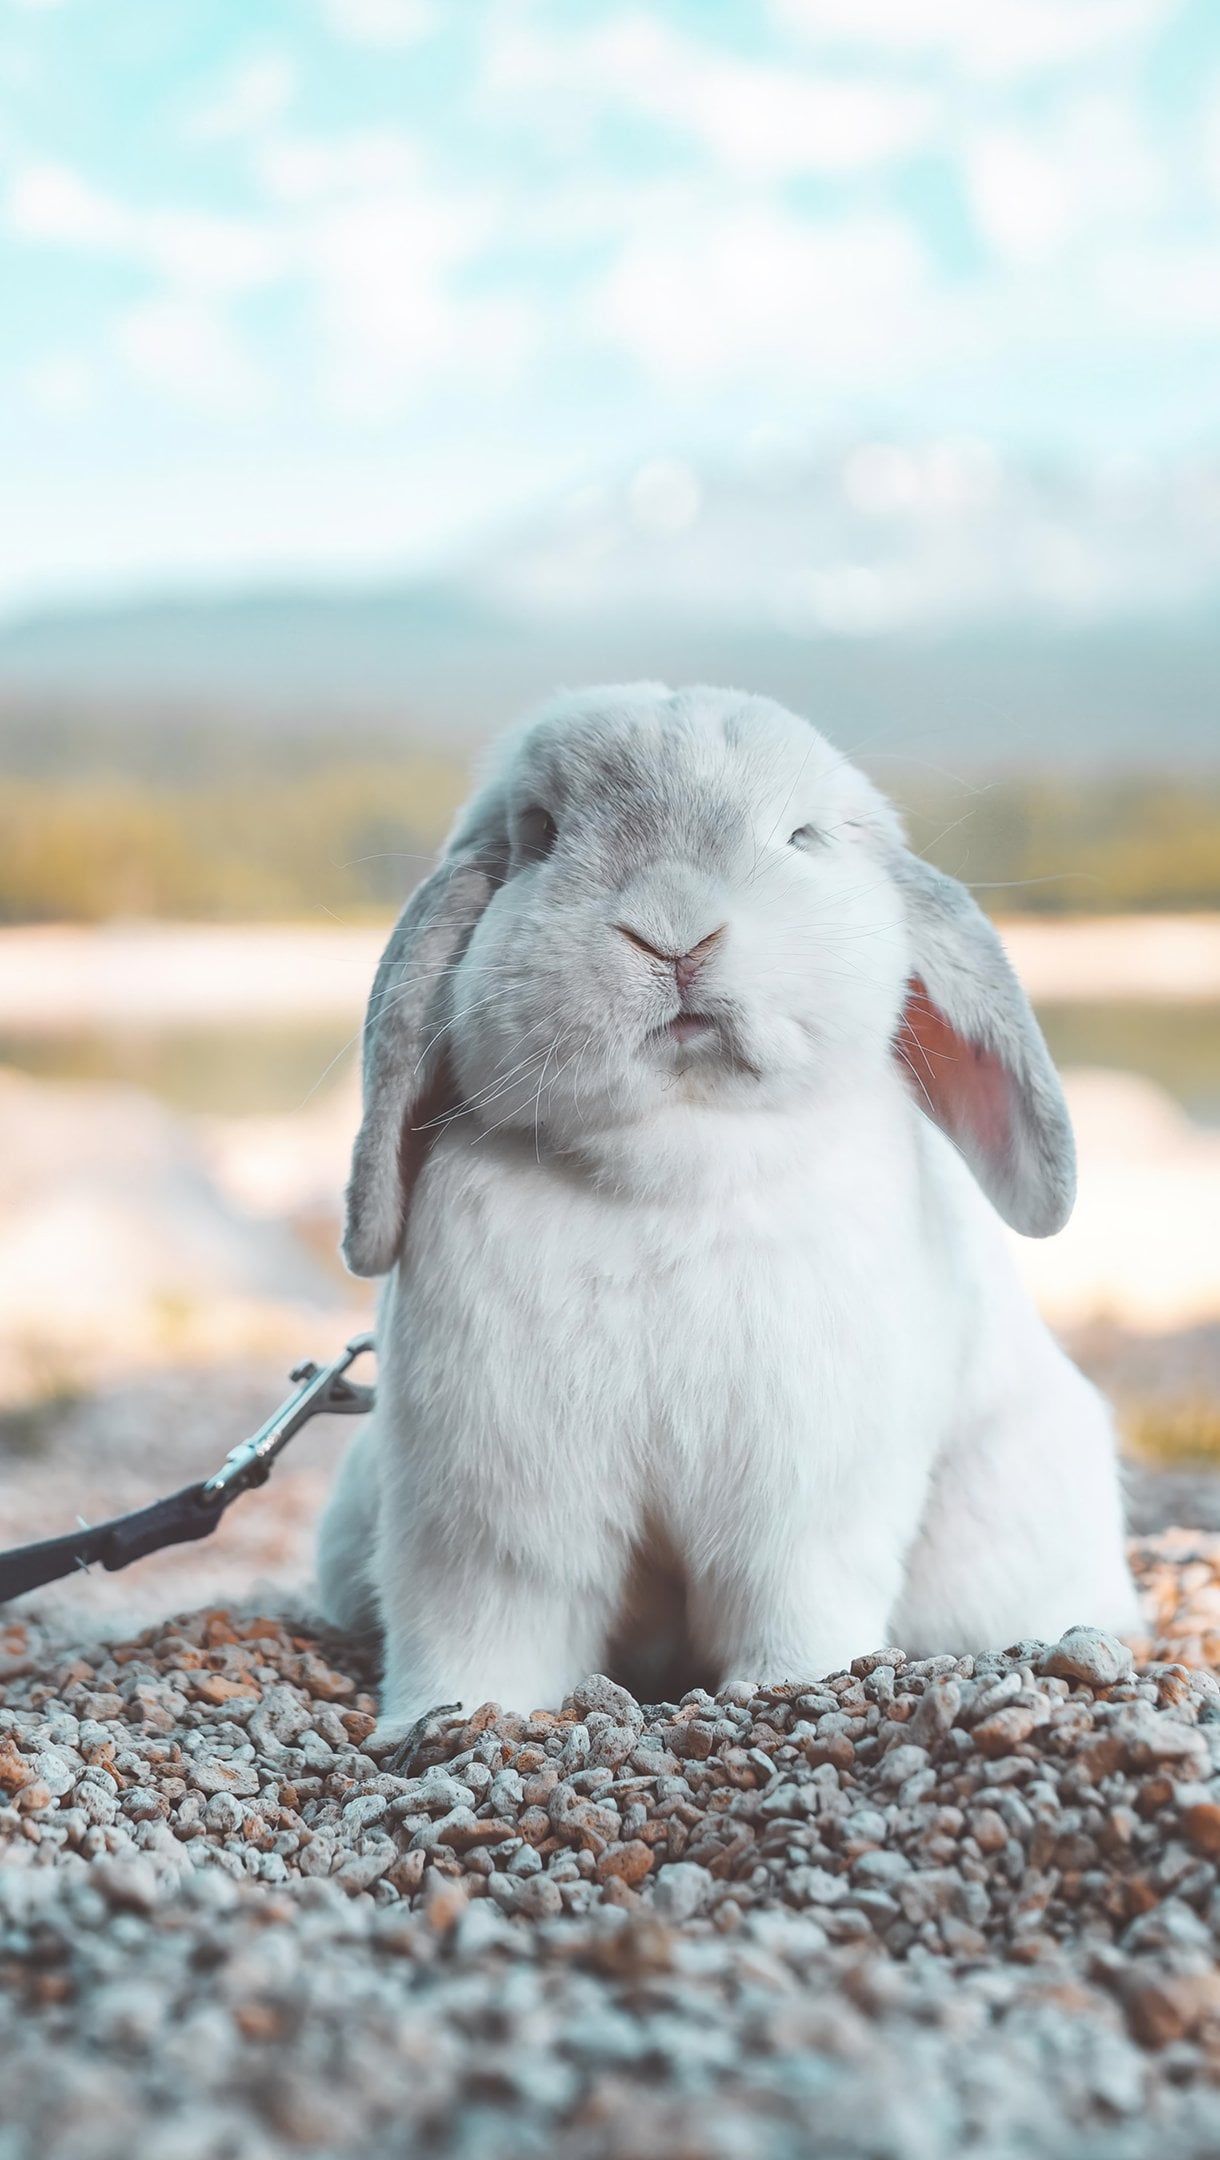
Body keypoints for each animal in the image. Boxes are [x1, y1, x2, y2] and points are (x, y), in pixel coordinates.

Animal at [316, 682, 1138, 1745]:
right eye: (538, 834)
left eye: (802, 836)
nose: (676, 929)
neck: (671, 1169)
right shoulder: (495, 1514)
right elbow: (482, 1626)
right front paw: (447, 1722)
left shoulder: (802, 1503)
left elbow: (791, 1601)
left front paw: (795, 1689)